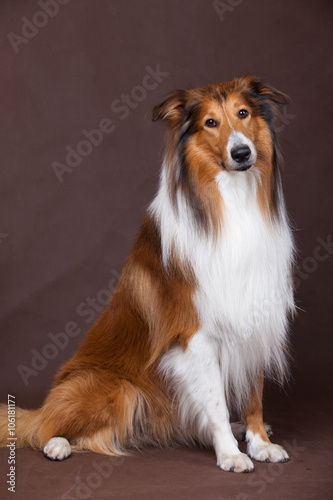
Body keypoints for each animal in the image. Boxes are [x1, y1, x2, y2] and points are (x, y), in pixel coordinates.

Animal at [0, 75, 294, 472]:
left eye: (243, 113)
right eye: (210, 123)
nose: (242, 154)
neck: (231, 200)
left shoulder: (253, 312)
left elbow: (254, 393)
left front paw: (259, 441)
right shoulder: (194, 333)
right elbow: (215, 399)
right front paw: (231, 454)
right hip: (115, 386)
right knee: (47, 428)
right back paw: (56, 444)